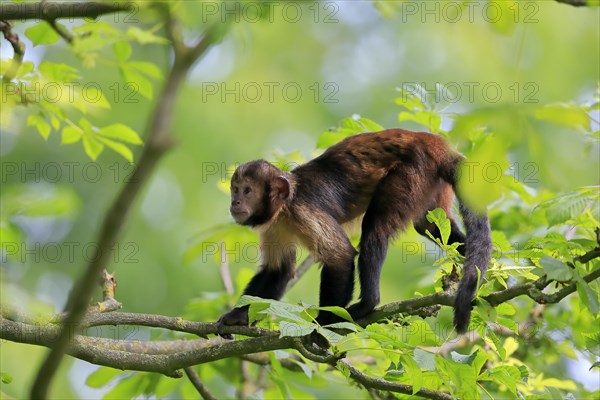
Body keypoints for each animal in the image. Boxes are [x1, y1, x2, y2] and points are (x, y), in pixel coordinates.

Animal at [218, 128, 490, 338]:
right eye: (235, 190)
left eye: (247, 191)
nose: (235, 203)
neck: (284, 207)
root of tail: (428, 140)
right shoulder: (274, 225)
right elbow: (278, 271)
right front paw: (237, 317)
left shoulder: (302, 211)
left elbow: (341, 256)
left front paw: (323, 325)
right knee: (429, 226)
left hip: (414, 171)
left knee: (375, 229)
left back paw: (368, 303)